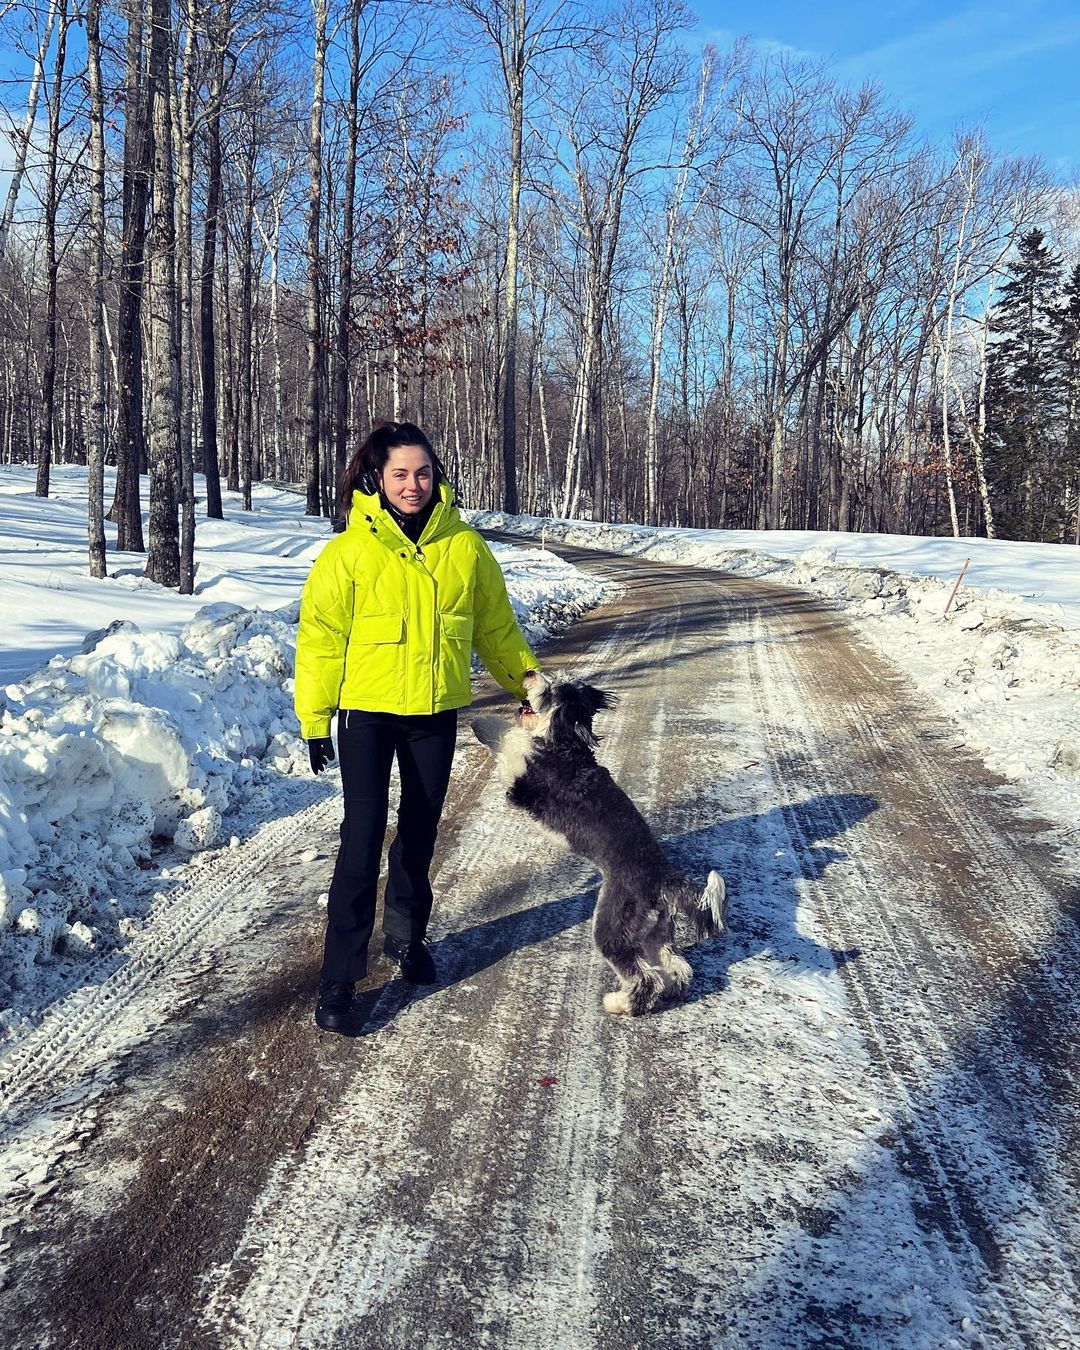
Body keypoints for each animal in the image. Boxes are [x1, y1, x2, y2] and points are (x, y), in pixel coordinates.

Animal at [469, 669, 723, 1015]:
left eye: (549, 691)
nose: (530, 672)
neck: (565, 745)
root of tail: (663, 879)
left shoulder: (525, 776)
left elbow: (512, 739)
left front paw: (481, 721)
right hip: (654, 931)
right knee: (675, 965)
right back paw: (670, 989)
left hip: (612, 924)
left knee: (643, 977)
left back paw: (619, 1004)